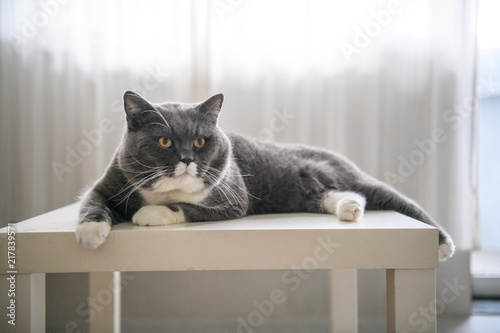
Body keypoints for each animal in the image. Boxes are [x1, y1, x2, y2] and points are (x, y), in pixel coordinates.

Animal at [76, 90, 456, 260]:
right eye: (165, 141)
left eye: (200, 141)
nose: (186, 159)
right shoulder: (111, 182)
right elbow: (91, 201)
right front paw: (90, 232)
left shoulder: (233, 200)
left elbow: (185, 207)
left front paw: (148, 213)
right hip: (312, 193)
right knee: (345, 196)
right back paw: (349, 209)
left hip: (347, 175)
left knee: (387, 196)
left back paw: (442, 243)